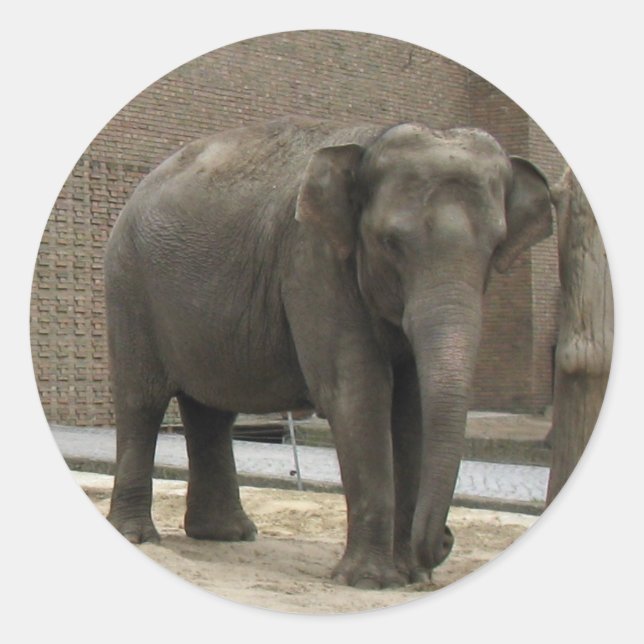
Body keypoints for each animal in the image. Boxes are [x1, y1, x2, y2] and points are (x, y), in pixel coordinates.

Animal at [104, 116, 552, 589]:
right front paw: (371, 581)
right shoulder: (312, 260)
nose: (445, 540)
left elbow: (411, 406)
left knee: (211, 411)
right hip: (129, 287)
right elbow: (358, 392)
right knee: (141, 402)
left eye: (495, 247)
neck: (371, 142)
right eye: (390, 242)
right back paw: (139, 536)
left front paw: (408, 576)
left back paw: (226, 535)